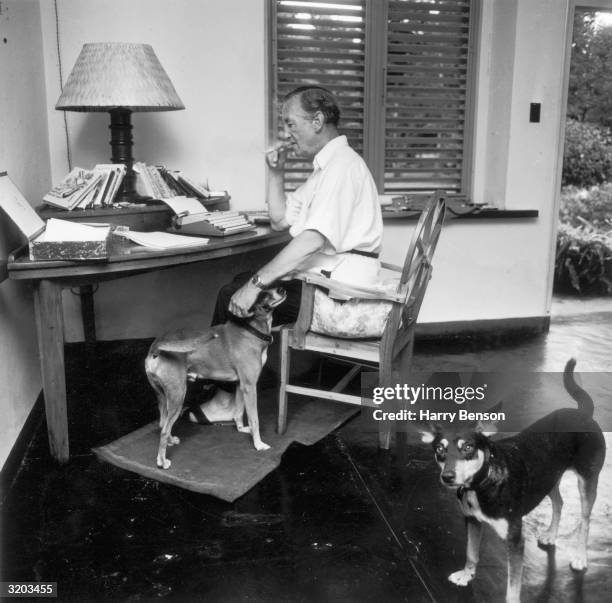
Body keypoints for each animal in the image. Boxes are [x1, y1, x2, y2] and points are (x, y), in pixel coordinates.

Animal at [146, 290, 286, 472]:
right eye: (262, 295)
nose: (282, 289)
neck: (250, 329)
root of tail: (156, 347)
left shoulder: (240, 385)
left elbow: (238, 412)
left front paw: (241, 429)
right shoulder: (249, 387)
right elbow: (254, 419)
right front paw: (258, 444)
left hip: (163, 397)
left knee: (162, 424)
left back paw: (170, 441)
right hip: (178, 396)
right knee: (163, 429)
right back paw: (162, 461)